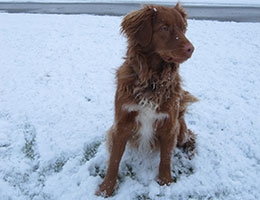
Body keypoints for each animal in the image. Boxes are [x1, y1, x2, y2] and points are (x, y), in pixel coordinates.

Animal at [96, 3, 196, 197]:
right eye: (164, 28)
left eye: (183, 28)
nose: (191, 48)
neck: (152, 81)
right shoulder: (121, 124)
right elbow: (114, 160)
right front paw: (106, 189)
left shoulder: (169, 125)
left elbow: (165, 158)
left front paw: (165, 183)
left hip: (180, 128)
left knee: (191, 138)